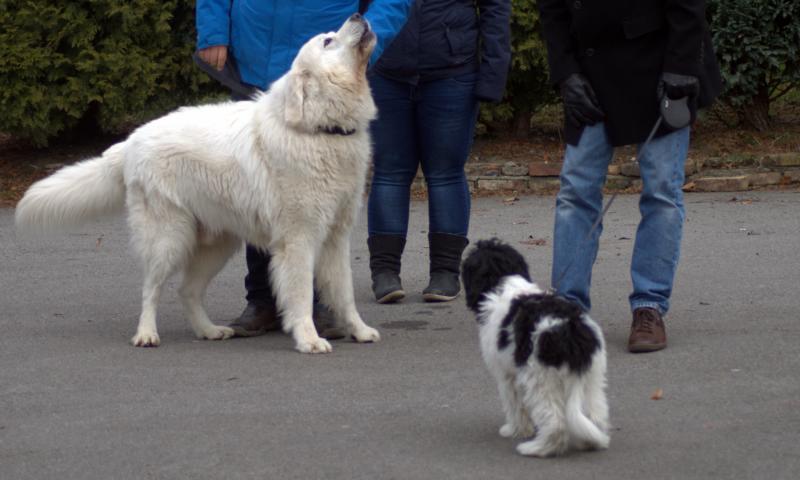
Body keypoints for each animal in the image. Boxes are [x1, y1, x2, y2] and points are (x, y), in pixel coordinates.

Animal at [15, 15, 380, 354]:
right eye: (328, 41)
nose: (358, 16)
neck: (322, 129)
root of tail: (131, 141)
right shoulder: (298, 240)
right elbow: (302, 294)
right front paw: (309, 339)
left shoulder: (336, 237)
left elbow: (344, 293)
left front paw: (359, 330)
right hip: (168, 238)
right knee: (151, 288)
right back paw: (146, 334)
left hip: (217, 243)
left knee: (186, 290)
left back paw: (208, 330)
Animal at [461, 239, 610, 456]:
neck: (504, 283)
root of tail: (569, 330)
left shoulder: (507, 375)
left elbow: (514, 404)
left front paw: (515, 430)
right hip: (592, 377)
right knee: (595, 413)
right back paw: (591, 441)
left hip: (541, 378)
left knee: (556, 422)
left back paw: (538, 448)